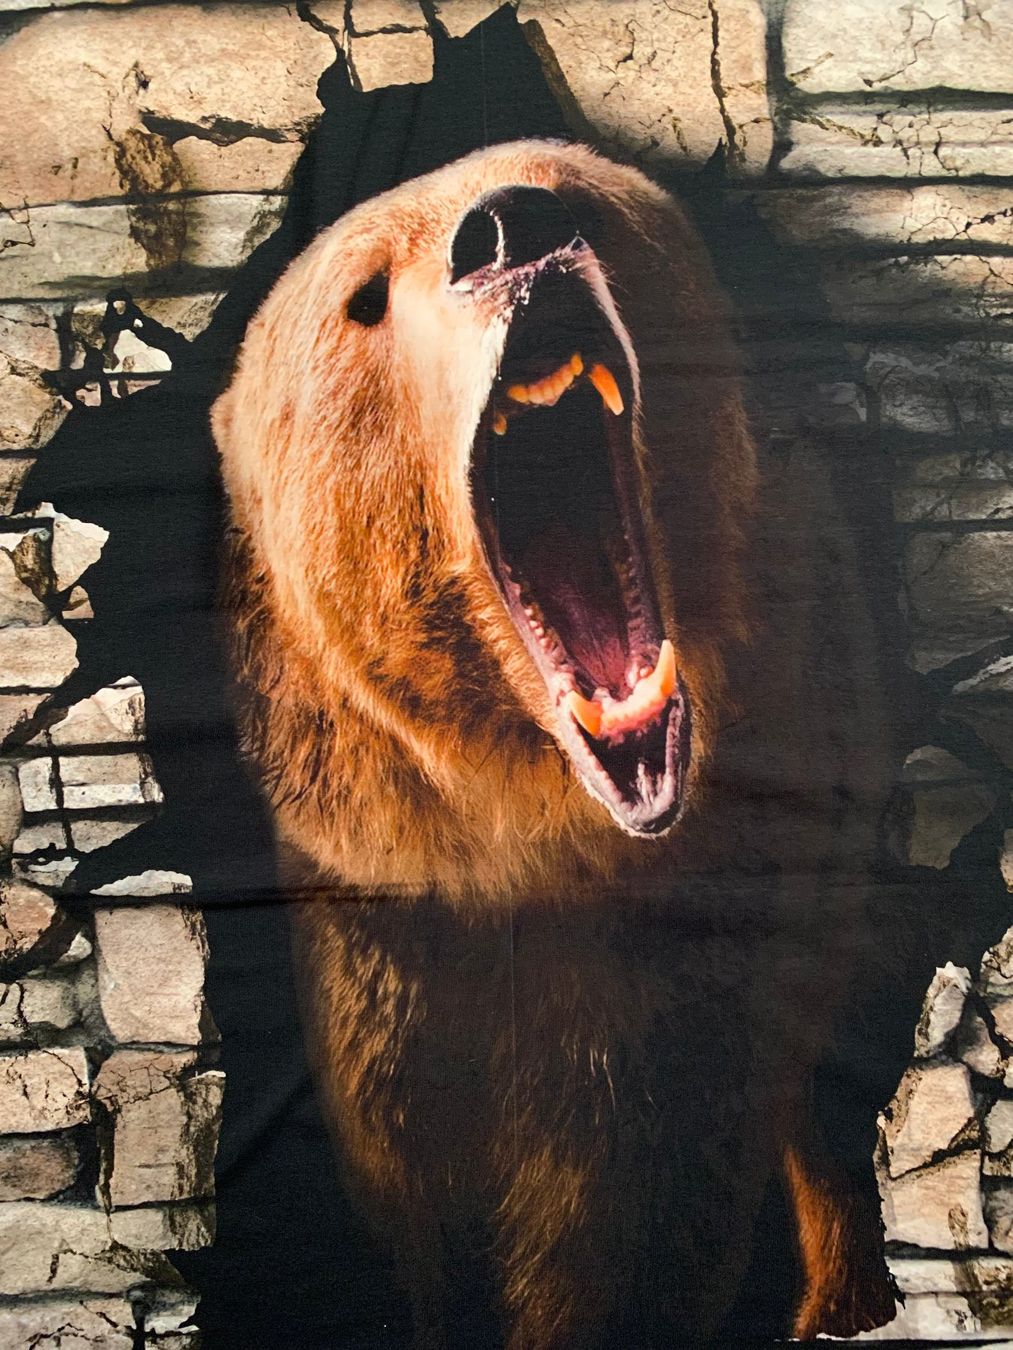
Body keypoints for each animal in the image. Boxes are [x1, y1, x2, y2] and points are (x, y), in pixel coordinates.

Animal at [211, 139, 899, 1346]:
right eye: (362, 296)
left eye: (574, 195)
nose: (508, 233)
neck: (528, 825)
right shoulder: (376, 912)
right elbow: (407, 1189)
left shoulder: (701, 921)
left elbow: (628, 1210)